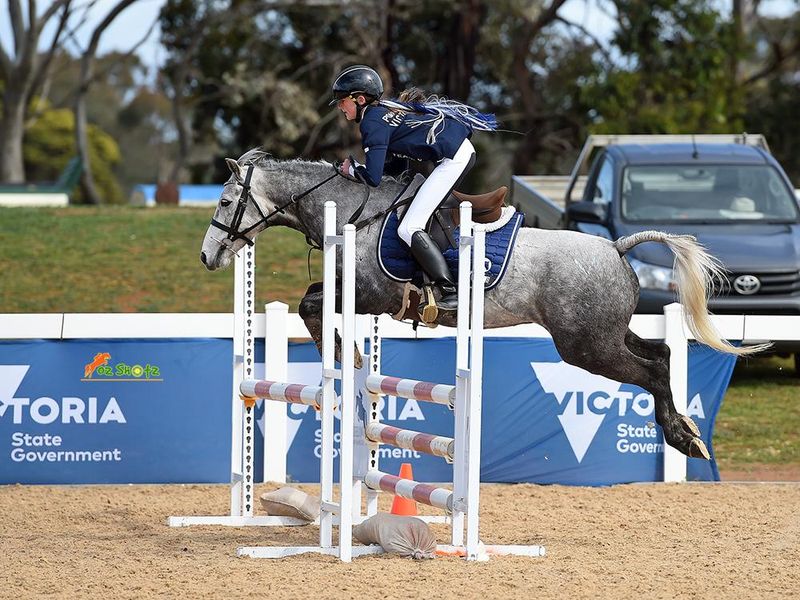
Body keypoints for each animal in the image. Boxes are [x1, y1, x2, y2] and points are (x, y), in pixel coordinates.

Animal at [200, 149, 765, 460]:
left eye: (226, 201)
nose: (208, 256)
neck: (356, 212)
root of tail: (615, 247)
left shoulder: (371, 293)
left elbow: (313, 306)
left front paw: (344, 359)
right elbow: (311, 302)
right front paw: (349, 363)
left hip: (586, 347)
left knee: (649, 371)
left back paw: (682, 439)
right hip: (605, 334)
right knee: (662, 356)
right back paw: (686, 433)